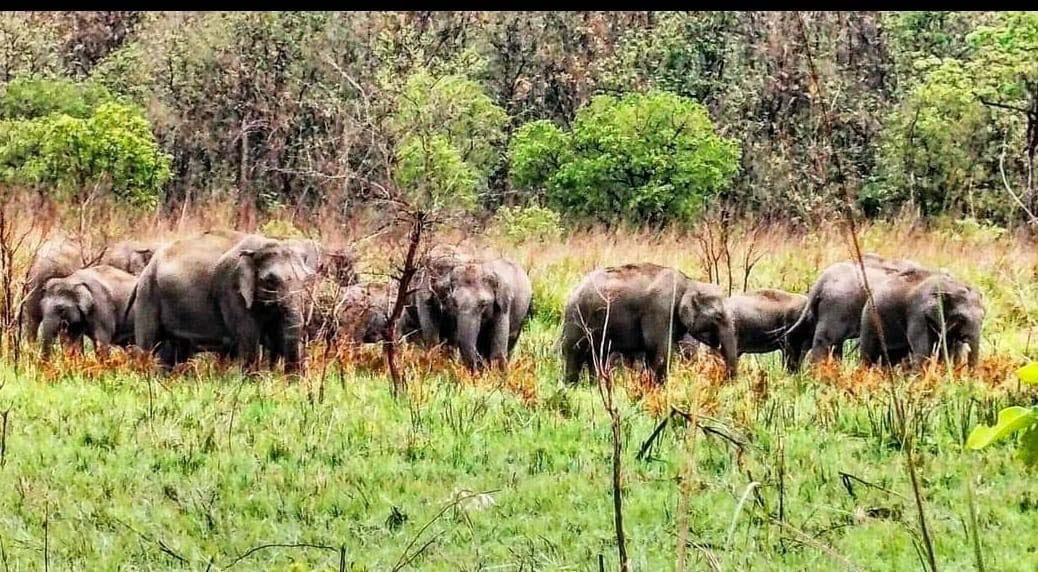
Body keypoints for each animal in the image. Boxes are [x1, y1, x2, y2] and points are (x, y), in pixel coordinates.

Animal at [133, 230, 313, 371]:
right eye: (270, 280)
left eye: (305, 279)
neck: (260, 246)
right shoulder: (232, 290)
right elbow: (248, 337)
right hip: (148, 292)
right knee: (148, 343)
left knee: (177, 351)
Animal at [561, 263, 738, 385]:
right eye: (718, 316)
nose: (727, 381)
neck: (689, 283)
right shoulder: (660, 310)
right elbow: (658, 349)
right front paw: (659, 387)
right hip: (577, 318)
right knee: (574, 351)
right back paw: (572, 385)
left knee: (597, 355)